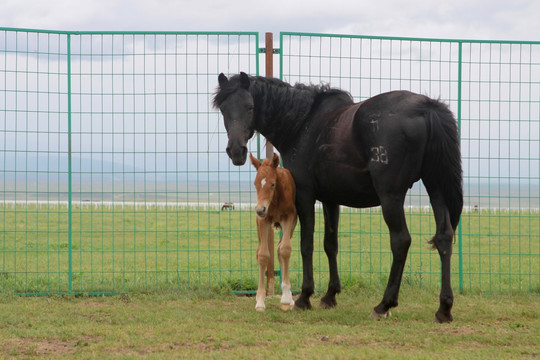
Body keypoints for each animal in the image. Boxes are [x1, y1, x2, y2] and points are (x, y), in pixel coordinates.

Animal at [213, 71, 462, 322]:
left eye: (250, 106)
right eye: (223, 109)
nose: (236, 151)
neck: (302, 123)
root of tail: (427, 107)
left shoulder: (305, 195)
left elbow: (306, 244)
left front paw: (304, 297)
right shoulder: (331, 199)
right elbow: (330, 244)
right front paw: (330, 295)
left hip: (391, 196)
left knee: (401, 241)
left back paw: (384, 304)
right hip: (435, 187)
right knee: (443, 237)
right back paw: (444, 308)